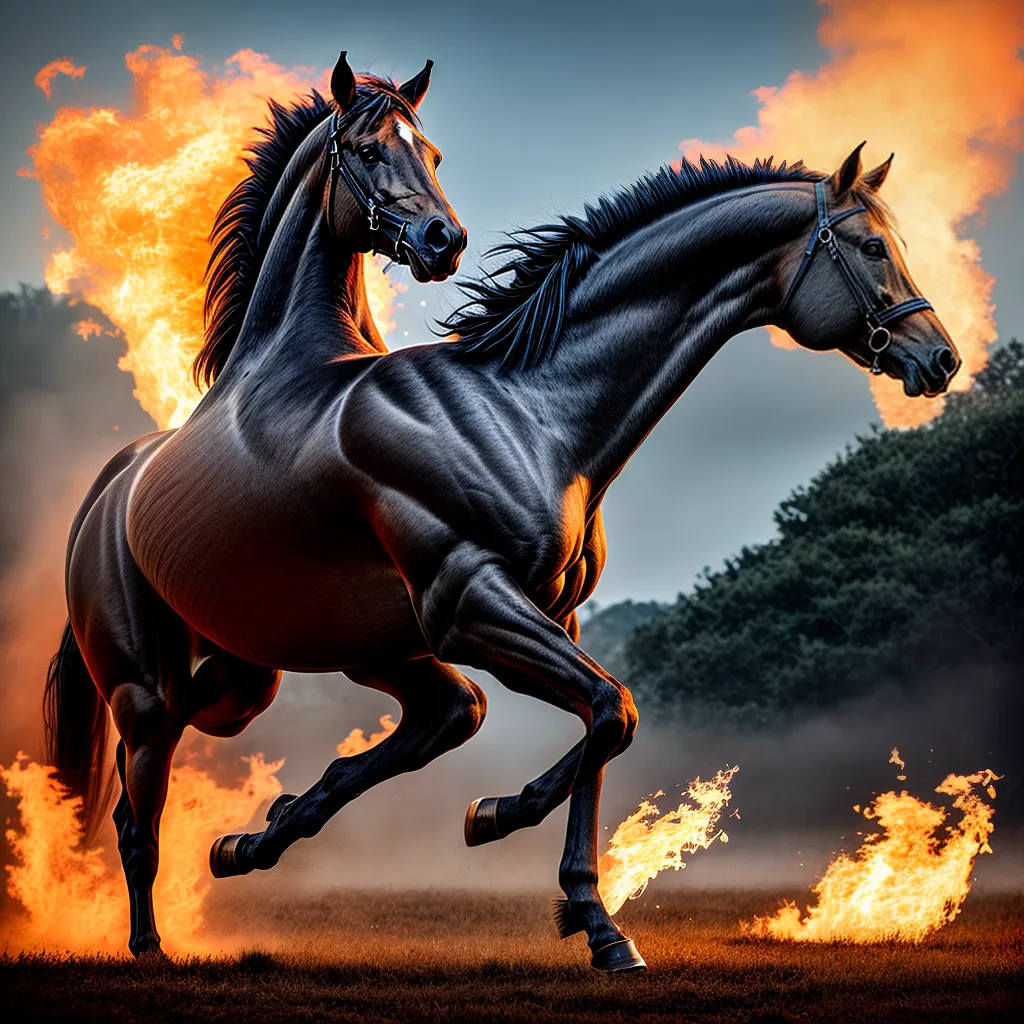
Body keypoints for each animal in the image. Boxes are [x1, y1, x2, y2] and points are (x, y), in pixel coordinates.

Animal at [46, 81, 960, 966]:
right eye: (870, 248)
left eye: (435, 154)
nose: (939, 357)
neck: (531, 411)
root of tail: (108, 491)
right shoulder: (474, 605)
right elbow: (612, 708)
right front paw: (533, 851)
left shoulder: (550, 616)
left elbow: (605, 722)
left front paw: (570, 894)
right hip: (151, 687)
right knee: (139, 809)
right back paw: (150, 946)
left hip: (282, 671)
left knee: (443, 716)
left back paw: (252, 842)